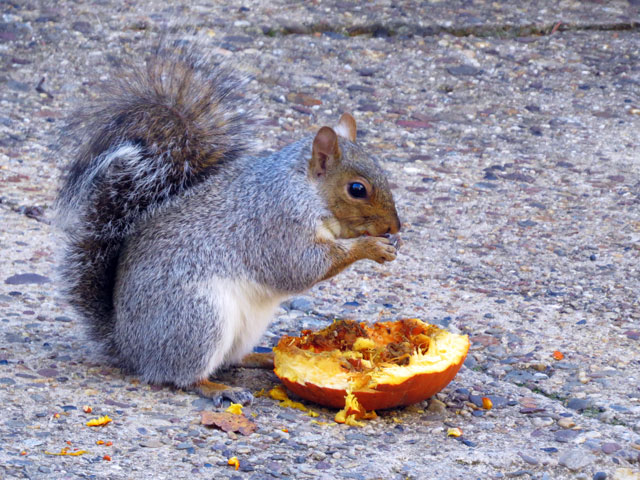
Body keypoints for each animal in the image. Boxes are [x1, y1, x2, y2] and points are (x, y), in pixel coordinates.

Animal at [56, 44, 401, 404]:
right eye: (357, 189)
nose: (396, 227)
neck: (304, 189)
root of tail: (129, 347)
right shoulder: (277, 223)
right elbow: (302, 267)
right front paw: (370, 247)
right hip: (198, 318)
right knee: (181, 375)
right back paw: (219, 389)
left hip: (244, 326)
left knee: (232, 358)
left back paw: (265, 356)